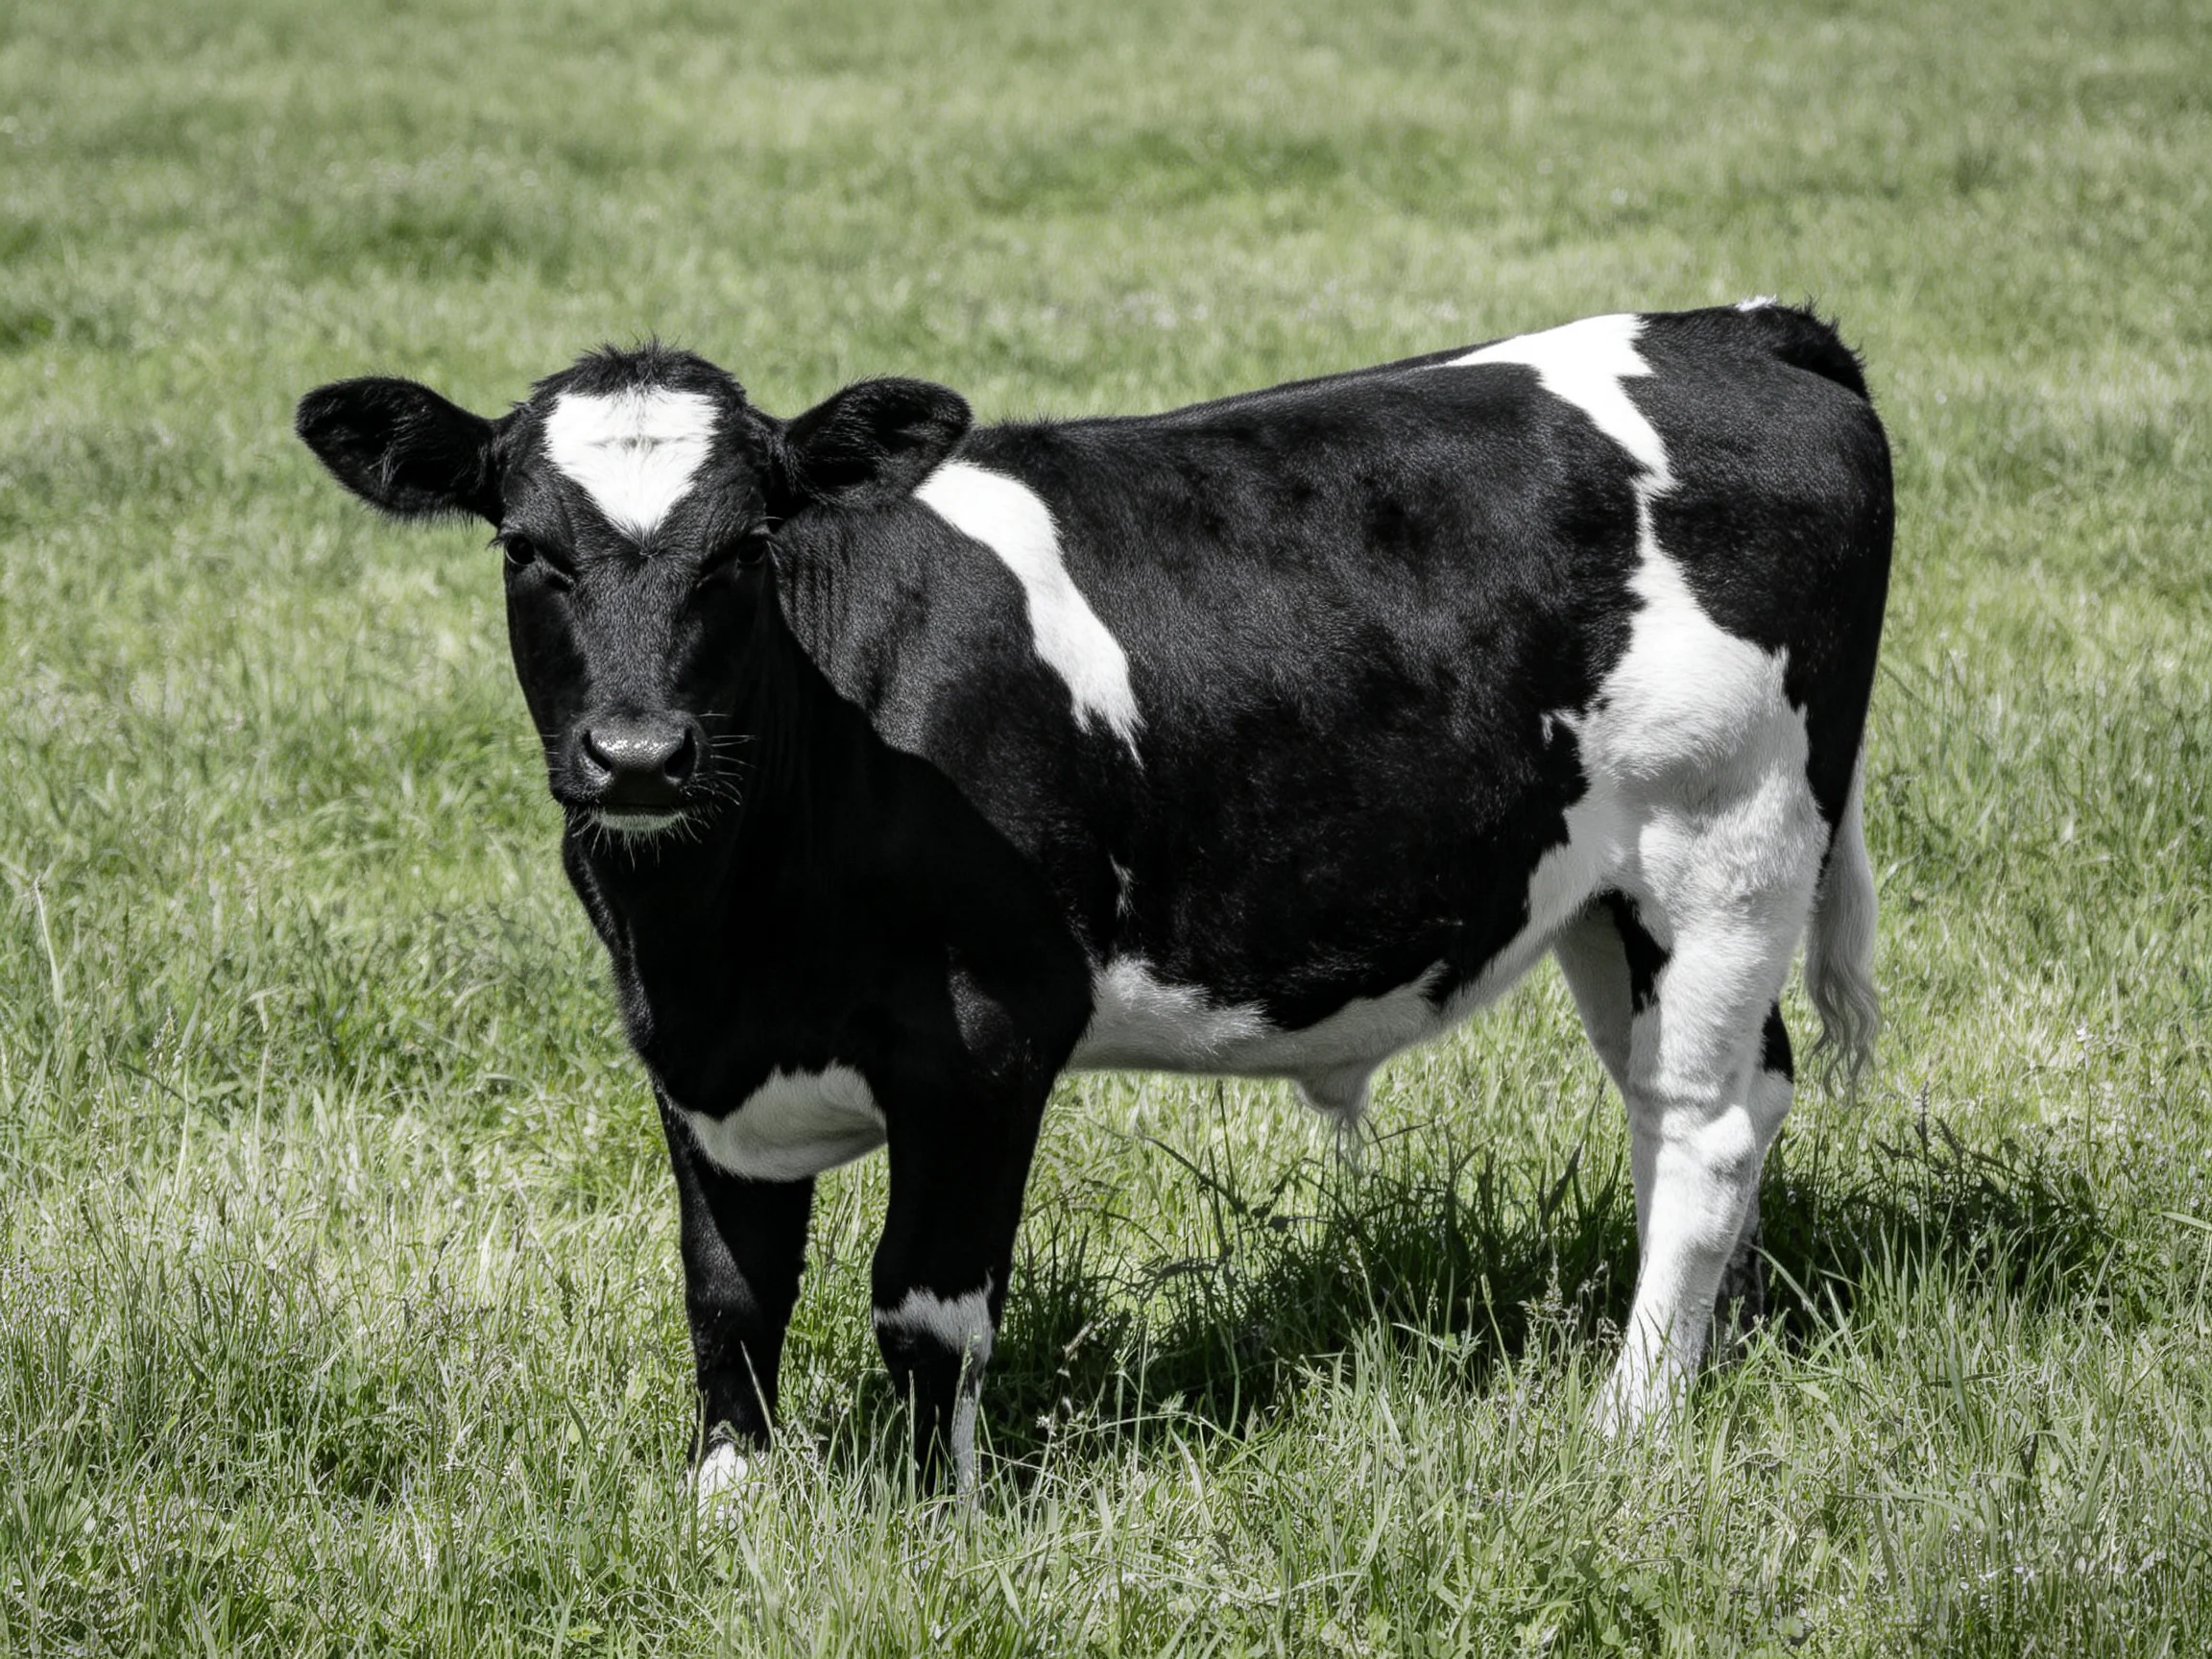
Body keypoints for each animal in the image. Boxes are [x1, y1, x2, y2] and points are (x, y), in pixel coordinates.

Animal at [295, 301, 1890, 1500]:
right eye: (524, 546)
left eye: (747, 546)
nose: (638, 755)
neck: (724, 923)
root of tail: (1742, 326)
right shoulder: (691, 1057)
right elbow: (731, 1295)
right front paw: (724, 1516)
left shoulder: (985, 1038)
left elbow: (925, 1307)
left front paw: (929, 1526)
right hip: (1609, 894)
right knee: (1702, 1099)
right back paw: (1718, 1346)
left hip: (1727, 838)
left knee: (1705, 1122)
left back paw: (1634, 1411)